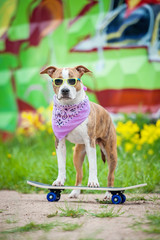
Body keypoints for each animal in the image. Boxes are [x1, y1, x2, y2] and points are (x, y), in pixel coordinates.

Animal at [40, 65, 117, 199]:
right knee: (79, 174)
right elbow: (61, 164)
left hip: (110, 152)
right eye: (58, 81)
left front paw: (93, 182)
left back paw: (108, 194)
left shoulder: (90, 142)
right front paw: (59, 181)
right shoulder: (59, 142)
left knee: (110, 175)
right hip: (78, 153)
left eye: (72, 81)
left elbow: (93, 165)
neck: (69, 107)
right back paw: (75, 192)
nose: (65, 90)